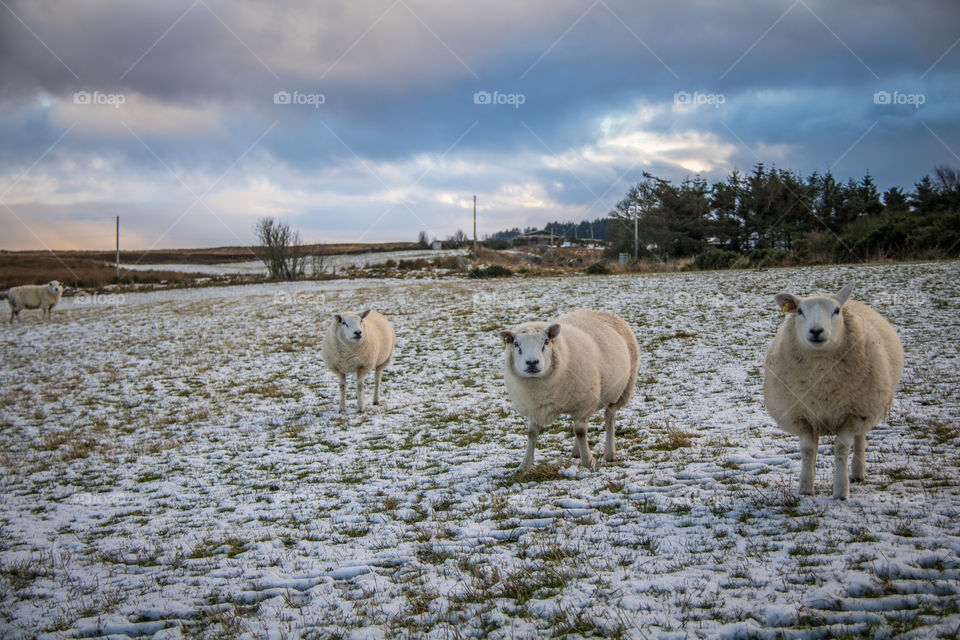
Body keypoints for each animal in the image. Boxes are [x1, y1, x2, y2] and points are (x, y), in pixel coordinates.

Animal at [500, 309, 639, 471]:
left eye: (546, 342)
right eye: (516, 344)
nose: (532, 362)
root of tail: (598, 311)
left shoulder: (583, 404)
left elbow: (580, 431)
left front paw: (588, 461)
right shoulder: (534, 408)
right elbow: (532, 433)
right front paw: (525, 465)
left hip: (620, 391)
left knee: (609, 417)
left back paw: (610, 453)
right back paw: (576, 451)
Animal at [763, 283, 904, 499]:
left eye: (836, 311)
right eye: (800, 311)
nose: (816, 331)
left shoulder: (852, 414)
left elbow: (842, 449)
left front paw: (840, 491)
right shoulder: (802, 415)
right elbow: (807, 450)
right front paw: (806, 488)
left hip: (865, 406)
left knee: (860, 438)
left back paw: (857, 472)